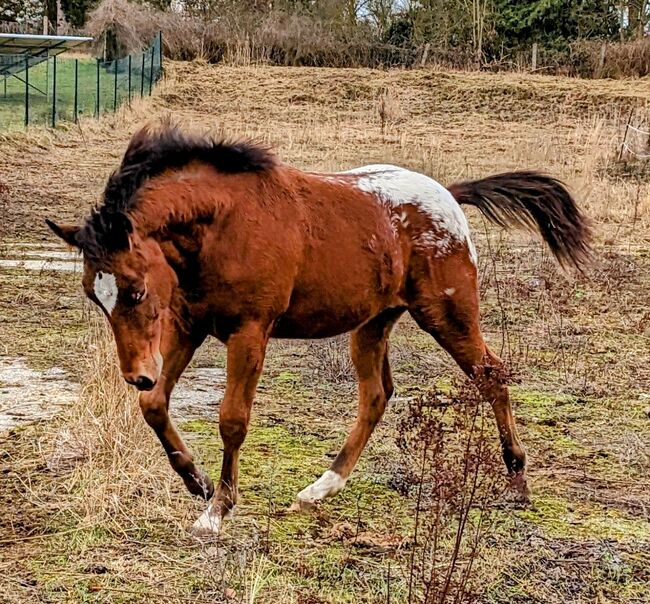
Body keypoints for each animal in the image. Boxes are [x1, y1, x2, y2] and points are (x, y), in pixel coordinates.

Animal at [46, 122, 588, 532]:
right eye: (94, 295)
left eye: (135, 289)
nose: (136, 373)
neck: (225, 224)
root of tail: (449, 197)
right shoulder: (188, 324)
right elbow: (154, 405)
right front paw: (197, 482)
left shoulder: (250, 331)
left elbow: (232, 419)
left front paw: (218, 511)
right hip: (372, 325)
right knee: (377, 396)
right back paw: (321, 488)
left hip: (446, 313)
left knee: (491, 376)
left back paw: (516, 479)